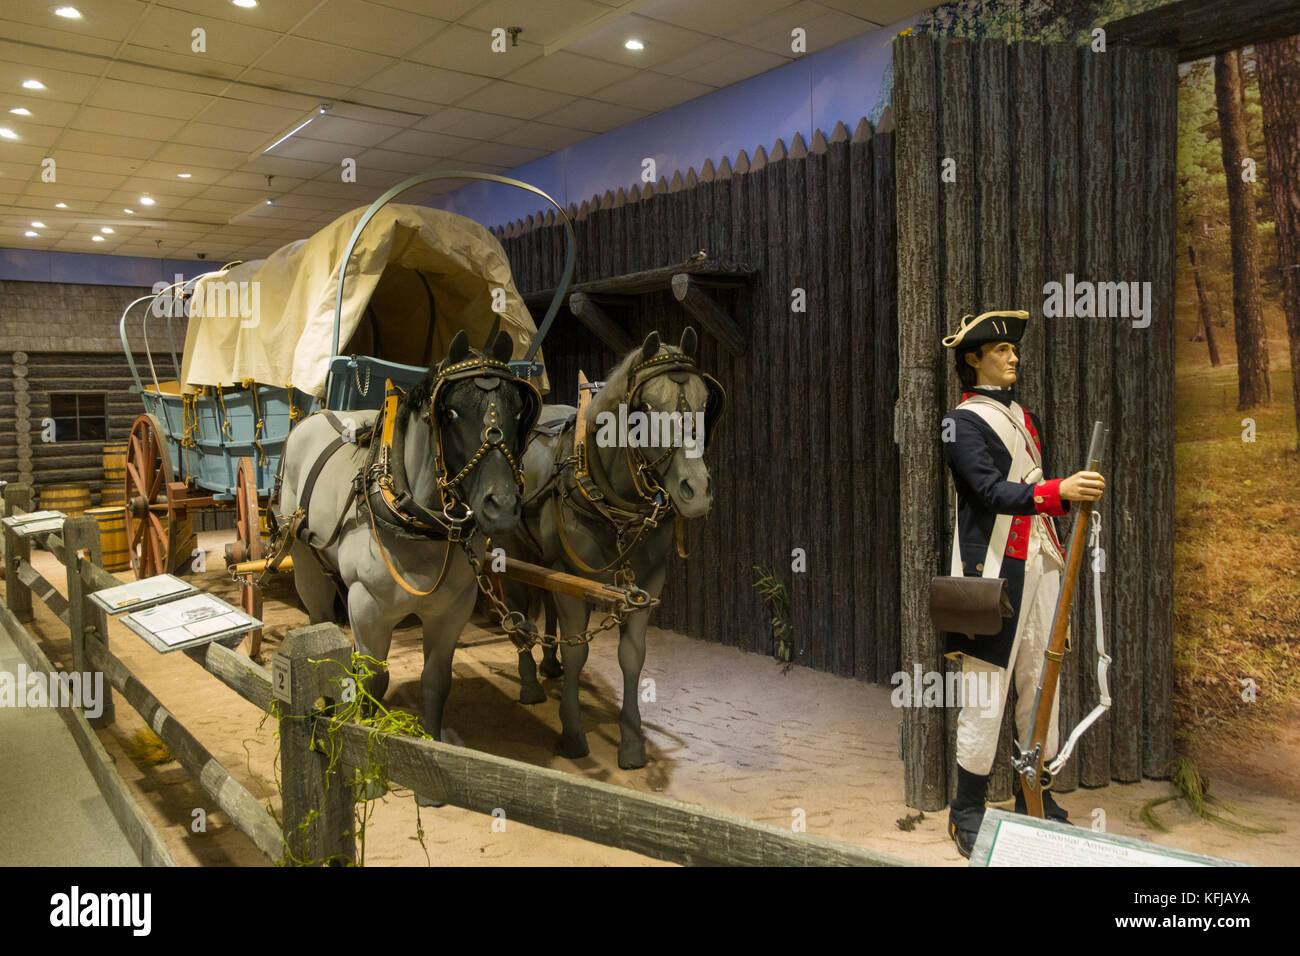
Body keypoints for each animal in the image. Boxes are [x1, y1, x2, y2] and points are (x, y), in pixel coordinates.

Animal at [276, 325, 535, 743]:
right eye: (450, 413)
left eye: (517, 411)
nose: (502, 505)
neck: (420, 524)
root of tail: (315, 417)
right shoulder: (368, 606)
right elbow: (372, 680)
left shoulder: (452, 609)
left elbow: (436, 682)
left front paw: (431, 743)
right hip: (304, 561)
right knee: (319, 626)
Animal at [493, 329, 722, 770]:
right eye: (645, 408)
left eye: (706, 403)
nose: (697, 491)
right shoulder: (573, 577)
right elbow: (579, 650)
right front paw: (572, 733)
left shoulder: (646, 582)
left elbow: (632, 655)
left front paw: (631, 742)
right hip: (512, 550)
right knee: (517, 612)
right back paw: (530, 682)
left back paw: (549, 664)